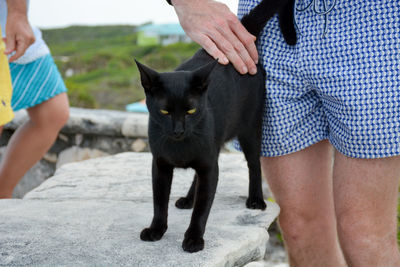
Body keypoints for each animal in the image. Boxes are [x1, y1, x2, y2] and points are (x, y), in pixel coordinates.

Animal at [136, 0, 296, 253]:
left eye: (191, 110)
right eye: (165, 112)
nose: (178, 130)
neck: (180, 148)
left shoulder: (210, 167)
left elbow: (203, 209)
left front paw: (193, 239)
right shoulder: (160, 165)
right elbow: (159, 202)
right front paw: (156, 230)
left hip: (249, 130)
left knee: (254, 165)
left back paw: (256, 200)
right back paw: (188, 200)